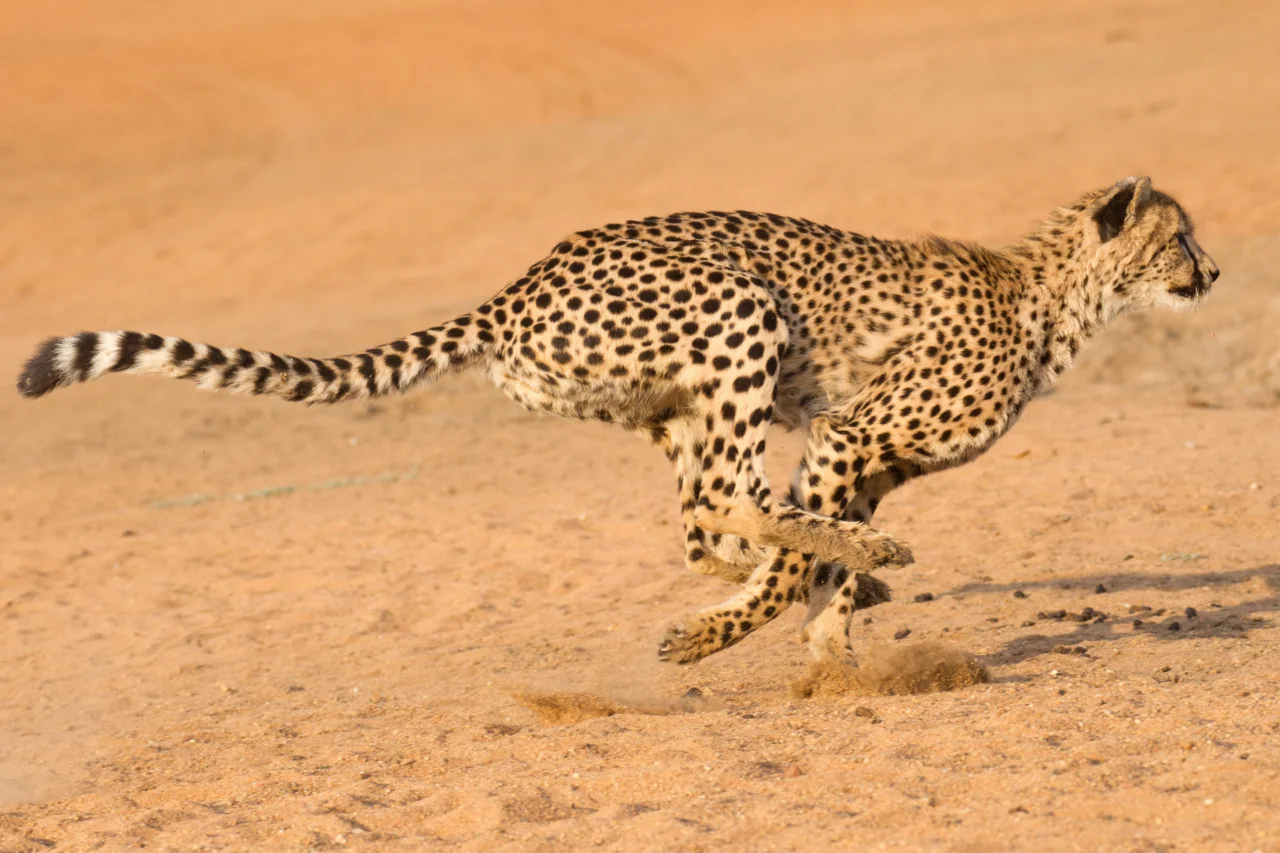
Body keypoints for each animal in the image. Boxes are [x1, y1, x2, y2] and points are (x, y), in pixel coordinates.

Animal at [16, 176, 1218, 670]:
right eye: (1178, 238)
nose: (1211, 272)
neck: (1054, 298)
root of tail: (519, 282)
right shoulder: (847, 438)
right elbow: (802, 555)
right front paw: (752, 634)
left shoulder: (865, 458)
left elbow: (806, 561)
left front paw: (832, 640)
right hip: (739, 317)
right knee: (726, 500)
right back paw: (817, 576)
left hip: (671, 400)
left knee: (699, 520)